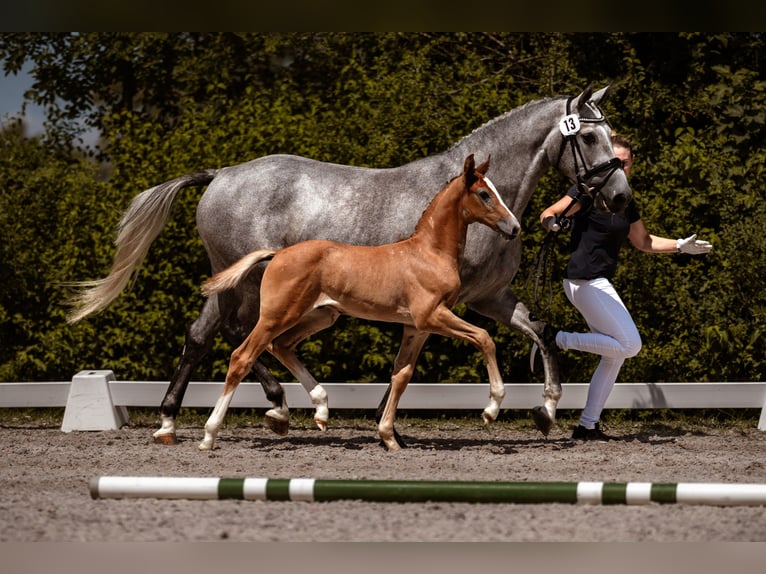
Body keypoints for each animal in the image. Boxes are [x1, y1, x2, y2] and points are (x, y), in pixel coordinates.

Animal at [198, 154, 520, 451]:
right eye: (484, 194)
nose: (514, 227)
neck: (429, 253)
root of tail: (277, 254)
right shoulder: (432, 316)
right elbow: (484, 337)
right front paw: (491, 409)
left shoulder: (416, 327)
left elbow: (401, 374)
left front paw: (388, 437)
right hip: (276, 316)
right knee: (242, 357)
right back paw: (210, 435)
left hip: (321, 316)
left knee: (282, 346)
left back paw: (320, 410)